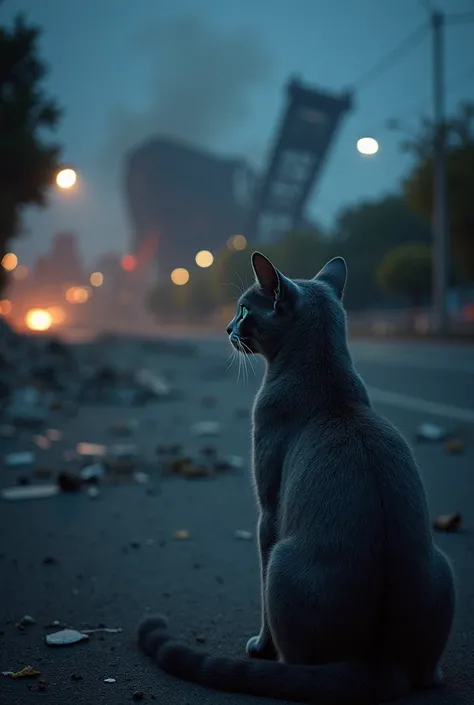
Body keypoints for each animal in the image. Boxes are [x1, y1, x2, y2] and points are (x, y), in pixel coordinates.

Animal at [138, 253, 456, 704]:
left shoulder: (268, 513)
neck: (329, 385)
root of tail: (380, 660)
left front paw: (259, 646)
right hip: (441, 565)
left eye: (243, 310)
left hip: (282, 563)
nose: (227, 328)